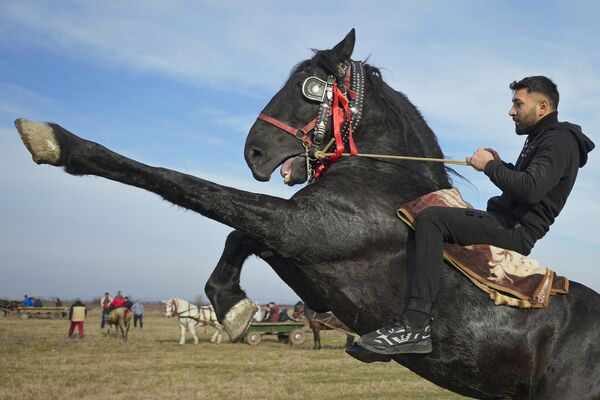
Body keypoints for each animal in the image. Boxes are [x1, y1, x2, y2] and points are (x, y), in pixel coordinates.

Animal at [12, 29, 600, 398]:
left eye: (309, 89)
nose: (253, 152)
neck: (382, 177)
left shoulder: (304, 231)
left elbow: (186, 186)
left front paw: (57, 142)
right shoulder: (295, 237)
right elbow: (237, 232)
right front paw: (232, 306)